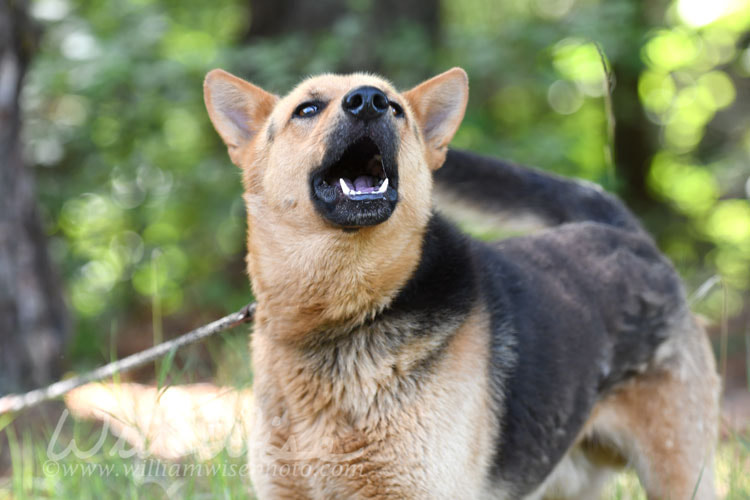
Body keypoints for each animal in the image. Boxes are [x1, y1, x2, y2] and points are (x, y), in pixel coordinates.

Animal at [67, 67, 720, 500]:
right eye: (307, 109)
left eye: (397, 110)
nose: (370, 103)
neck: (341, 319)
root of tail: (625, 235)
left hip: (678, 473)